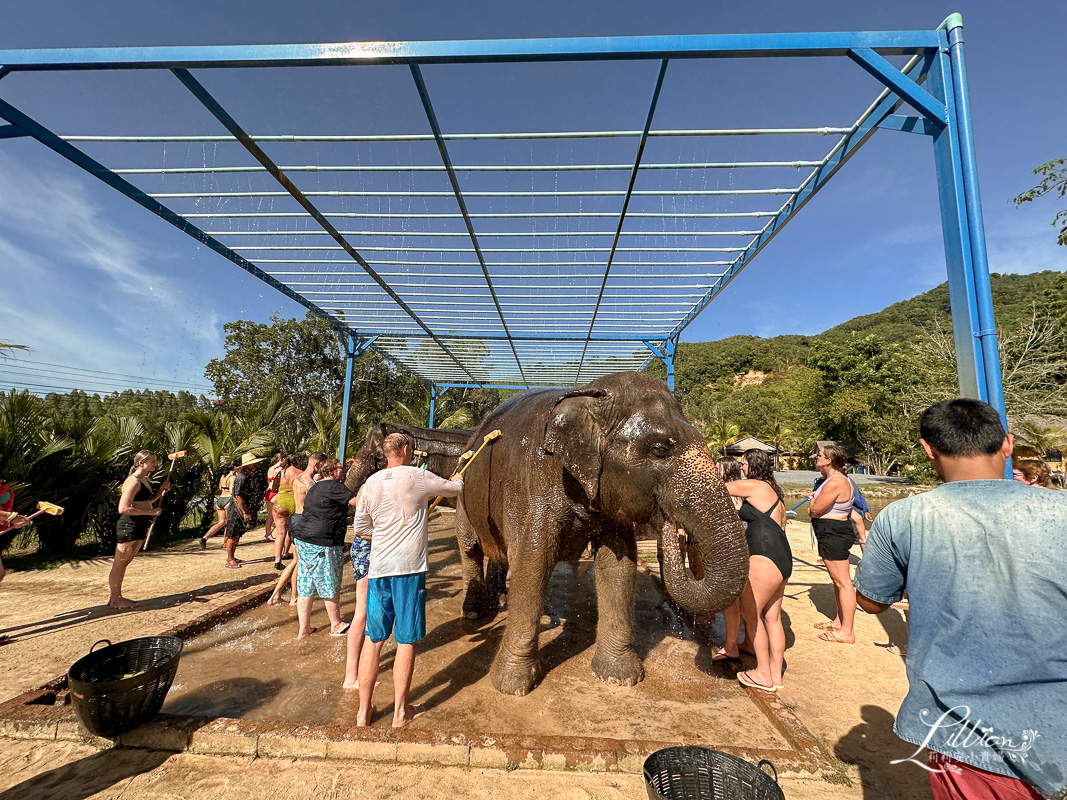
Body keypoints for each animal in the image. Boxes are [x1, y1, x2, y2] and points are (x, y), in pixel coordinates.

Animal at [454, 373, 746, 699]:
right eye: (660, 450)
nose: (671, 523)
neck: (585, 394)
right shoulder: (529, 483)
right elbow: (532, 563)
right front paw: (513, 686)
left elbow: (618, 566)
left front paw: (620, 678)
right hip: (461, 488)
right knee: (470, 548)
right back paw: (474, 613)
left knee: (499, 552)